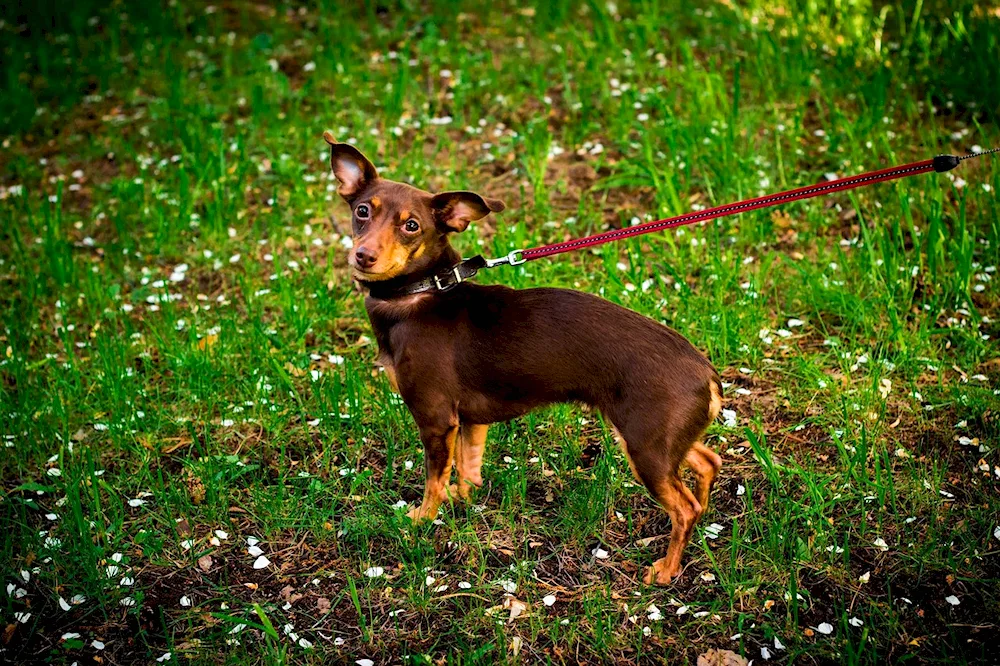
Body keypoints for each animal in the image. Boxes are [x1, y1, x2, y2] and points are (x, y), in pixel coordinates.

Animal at [324, 130, 724, 580]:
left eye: (412, 226)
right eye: (362, 211)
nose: (364, 255)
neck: (420, 292)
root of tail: (707, 376)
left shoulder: (436, 419)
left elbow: (434, 480)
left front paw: (422, 520)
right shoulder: (470, 421)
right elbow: (467, 469)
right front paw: (463, 502)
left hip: (646, 448)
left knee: (684, 508)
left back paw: (666, 570)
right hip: (662, 439)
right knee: (708, 462)